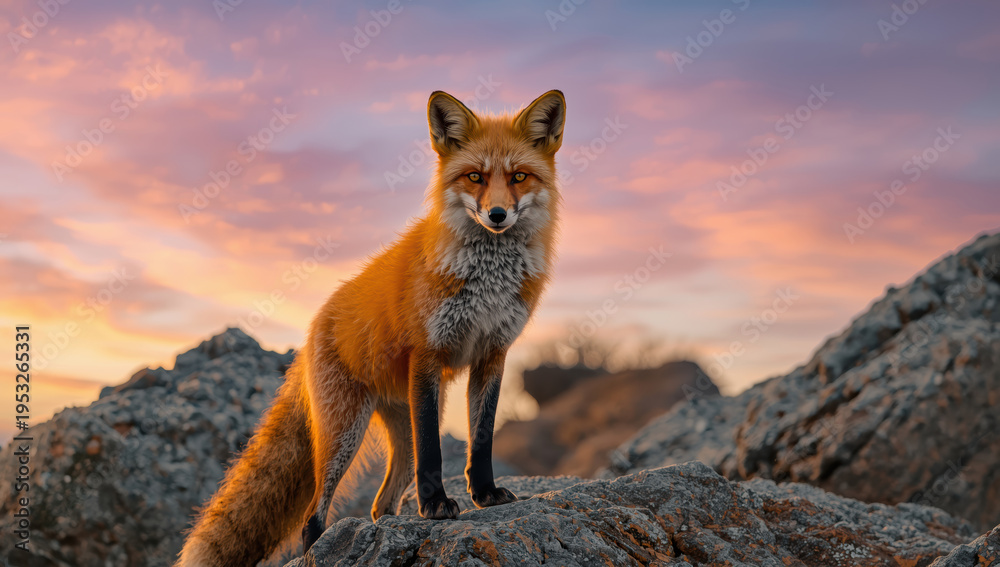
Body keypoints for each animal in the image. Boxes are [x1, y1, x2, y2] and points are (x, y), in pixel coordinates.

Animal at [175, 89, 566, 566]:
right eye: (475, 176)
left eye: (519, 177)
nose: (496, 215)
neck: (487, 279)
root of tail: (312, 328)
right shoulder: (428, 355)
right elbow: (434, 451)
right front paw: (435, 505)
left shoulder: (492, 355)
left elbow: (483, 437)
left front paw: (484, 493)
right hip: (346, 434)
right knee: (313, 515)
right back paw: (323, 543)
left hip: (403, 418)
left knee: (383, 502)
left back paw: (389, 525)